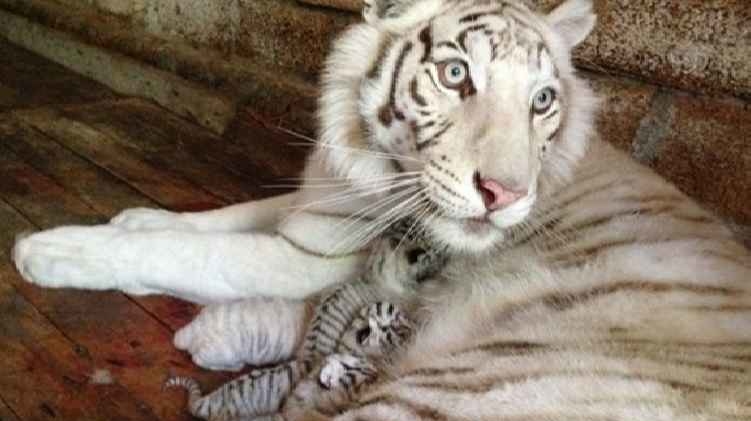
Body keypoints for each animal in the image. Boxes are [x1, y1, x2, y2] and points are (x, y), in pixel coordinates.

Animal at [12, 0, 751, 419]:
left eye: (542, 100)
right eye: (456, 75)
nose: (506, 195)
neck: (364, 158)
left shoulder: (320, 256)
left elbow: (199, 251)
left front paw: (51, 249)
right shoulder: (315, 204)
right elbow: (229, 213)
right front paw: (139, 216)